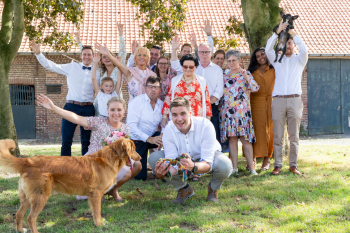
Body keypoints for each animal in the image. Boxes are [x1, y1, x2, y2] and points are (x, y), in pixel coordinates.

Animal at [0, 137, 141, 232]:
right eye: (134, 149)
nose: (140, 158)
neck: (111, 158)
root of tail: (28, 161)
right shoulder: (95, 195)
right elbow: (97, 211)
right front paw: (98, 224)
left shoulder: (93, 196)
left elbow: (97, 211)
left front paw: (100, 221)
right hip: (40, 197)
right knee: (30, 218)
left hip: (27, 198)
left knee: (19, 214)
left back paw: (20, 230)